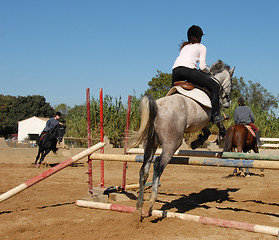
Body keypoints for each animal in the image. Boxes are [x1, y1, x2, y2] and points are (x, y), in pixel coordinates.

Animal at [130, 59, 235, 218]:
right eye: (231, 84)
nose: (228, 104)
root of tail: (156, 108)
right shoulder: (211, 113)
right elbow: (218, 121)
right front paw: (220, 134)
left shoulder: (199, 121)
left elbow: (206, 130)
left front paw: (196, 142)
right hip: (172, 143)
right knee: (158, 164)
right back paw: (152, 201)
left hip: (149, 144)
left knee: (144, 169)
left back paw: (139, 205)